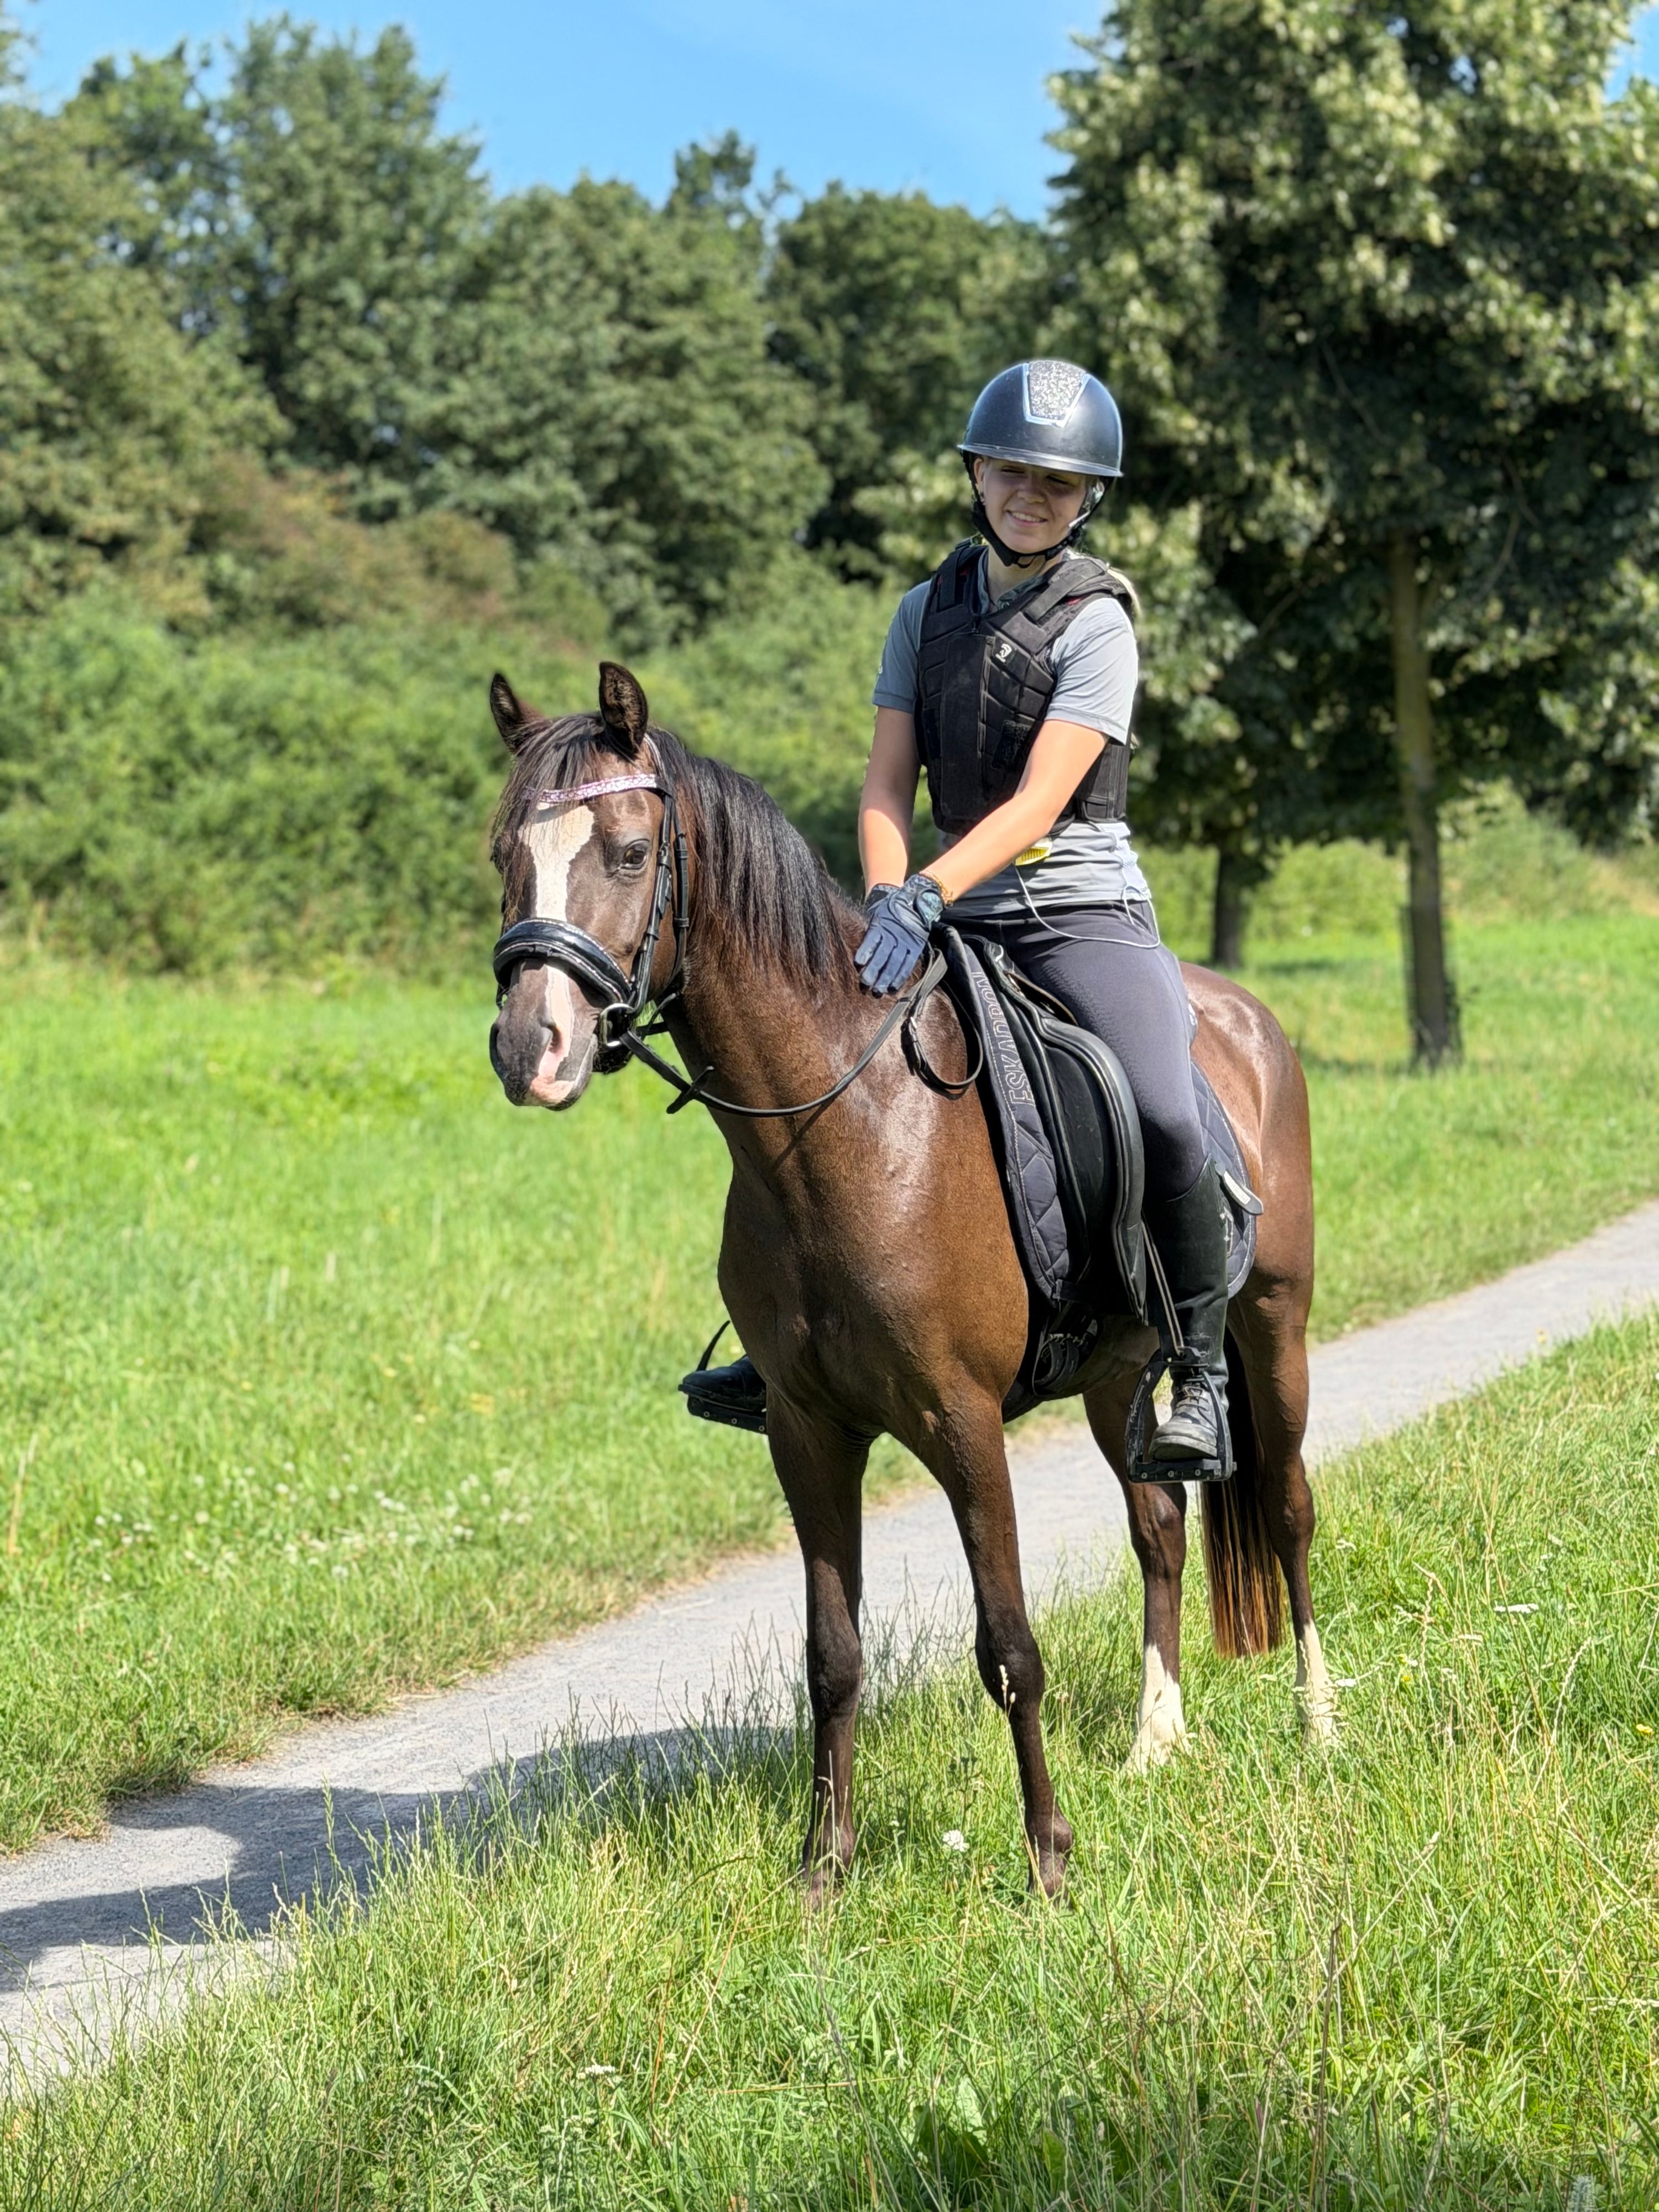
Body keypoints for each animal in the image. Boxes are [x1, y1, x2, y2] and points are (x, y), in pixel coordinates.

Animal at [487, 661, 1332, 1900]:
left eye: (632, 852)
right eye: (505, 853)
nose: (529, 1049)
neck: (847, 1127)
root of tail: (1249, 1019)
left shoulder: (963, 1422)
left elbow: (1010, 1646)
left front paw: (1048, 1860)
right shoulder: (809, 1430)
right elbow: (832, 1654)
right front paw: (824, 1867)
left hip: (1273, 1326)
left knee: (1284, 1507)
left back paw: (1319, 1719)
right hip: (1117, 1374)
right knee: (1161, 1527)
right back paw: (1154, 1738)